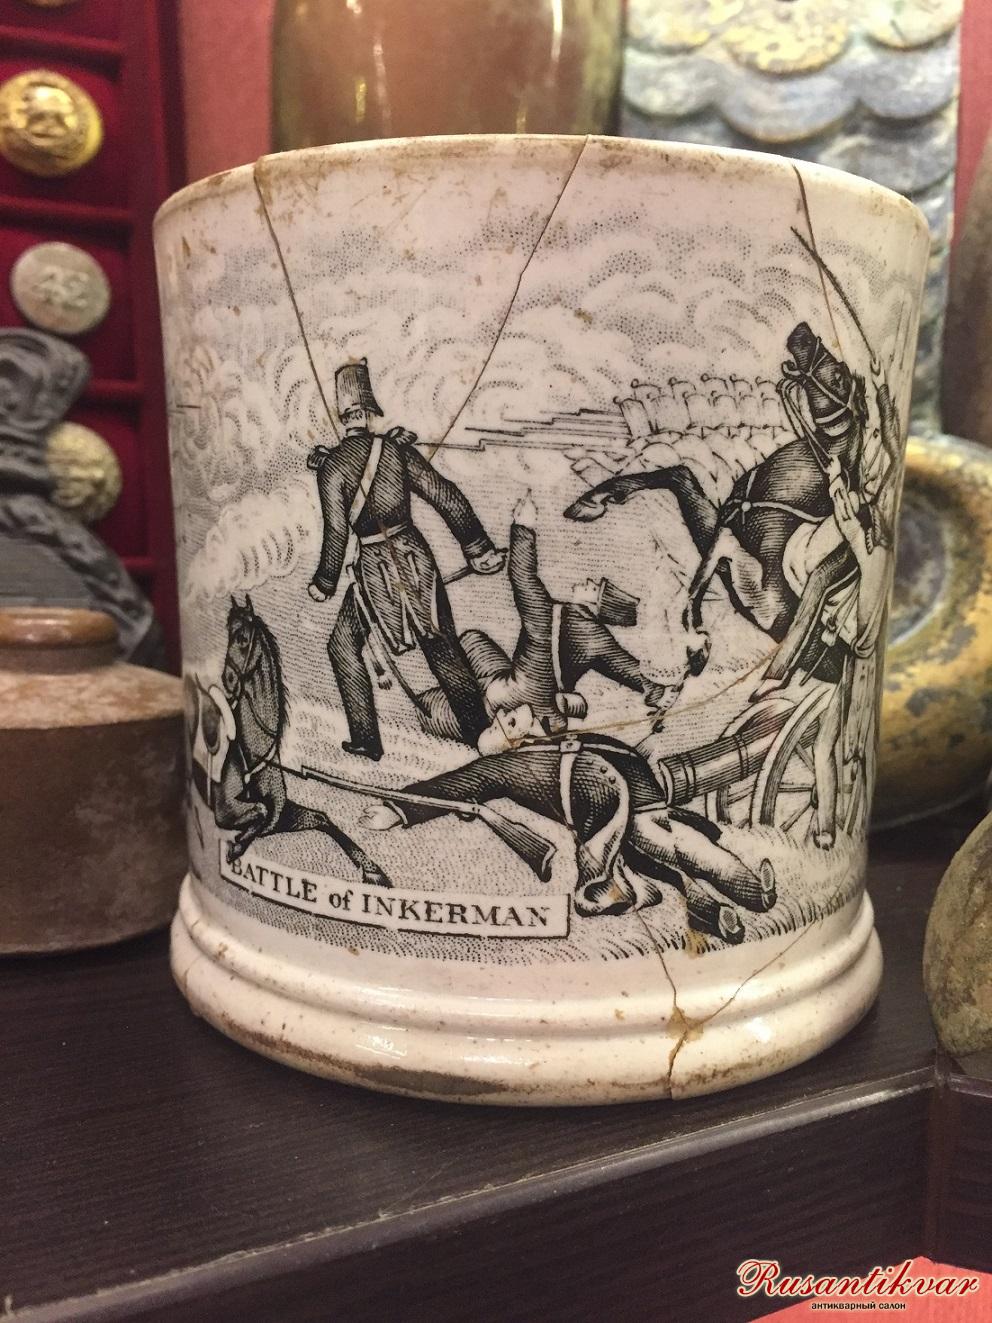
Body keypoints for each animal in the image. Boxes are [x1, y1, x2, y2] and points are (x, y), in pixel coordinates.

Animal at [211, 595, 392, 885]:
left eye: (242, 638)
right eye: (227, 633)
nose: (227, 679)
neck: (253, 761)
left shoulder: (285, 812)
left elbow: (319, 818)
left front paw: (373, 870)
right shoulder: (225, 810)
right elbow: (263, 812)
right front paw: (238, 845)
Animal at [564, 323, 868, 685]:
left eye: (838, 377)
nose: (803, 331)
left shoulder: (763, 597)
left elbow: (706, 570)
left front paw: (697, 645)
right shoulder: (723, 538)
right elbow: (679, 476)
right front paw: (591, 500)